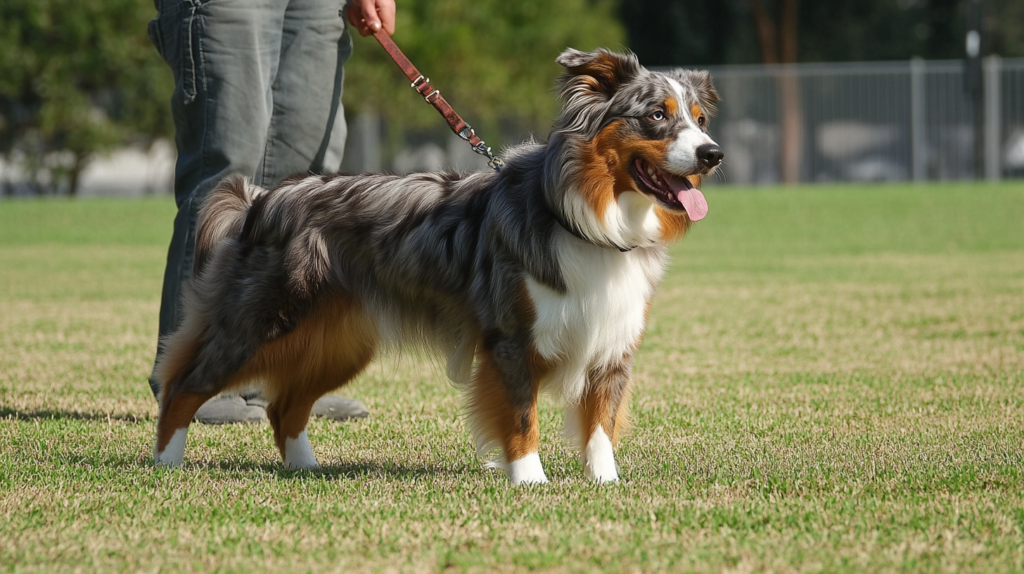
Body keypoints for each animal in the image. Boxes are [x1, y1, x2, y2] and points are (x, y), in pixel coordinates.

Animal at [153, 47, 720, 482]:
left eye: (700, 120)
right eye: (656, 115)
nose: (712, 154)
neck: (586, 217)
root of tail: (262, 198)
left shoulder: (611, 341)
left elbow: (601, 424)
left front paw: (606, 482)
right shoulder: (511, 338)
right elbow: (521, 416)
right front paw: (530, 480)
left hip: (338, 343)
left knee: (283, 405)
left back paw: (305, 468)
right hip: (258, 321)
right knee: (183, 385)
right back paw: (166, 463)